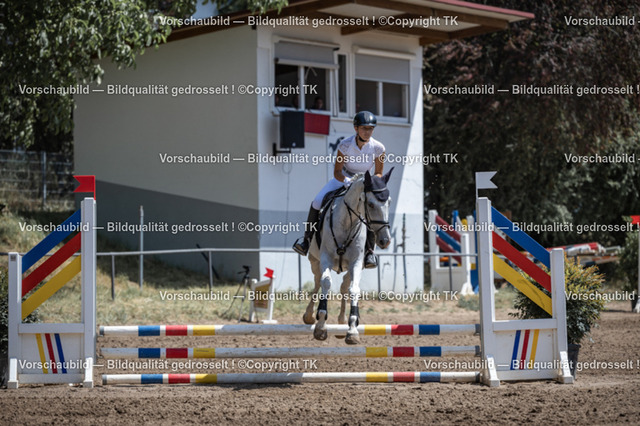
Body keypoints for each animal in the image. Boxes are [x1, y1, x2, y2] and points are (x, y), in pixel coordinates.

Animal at [303, 169, 393, 344]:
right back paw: (309, 315)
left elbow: (354, 289)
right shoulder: (325, 259)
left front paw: (352, 330)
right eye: (370, 204)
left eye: (389, 203)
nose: (385, 240)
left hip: (351, 268)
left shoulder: (356, 263)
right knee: (317, 282)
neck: (347, 222)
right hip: (314, 260)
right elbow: (326, 283)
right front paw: (321, 326)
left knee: (345, 287)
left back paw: (341, 323)